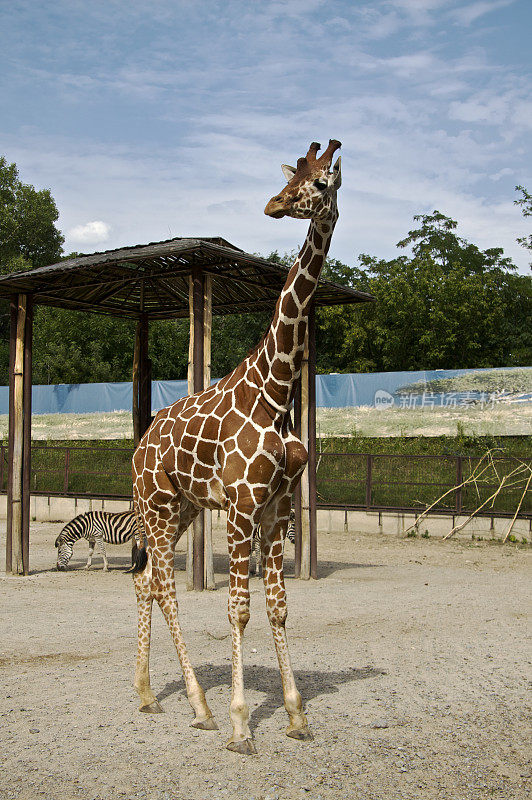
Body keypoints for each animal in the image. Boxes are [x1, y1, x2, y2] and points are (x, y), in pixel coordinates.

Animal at [131, 139, 342, 756]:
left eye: (319, 184)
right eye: (291, 179)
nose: (274, 205)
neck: (276, 390)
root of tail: (139, 448)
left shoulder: (277, 507)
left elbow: (278, 608)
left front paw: (296, 715)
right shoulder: (242, 505)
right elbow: (239, 610)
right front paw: (241, 723)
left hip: (181, 509)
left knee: (145, 581)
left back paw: (149, 693)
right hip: (156, 506)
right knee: (163, 587)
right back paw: (200, 705)